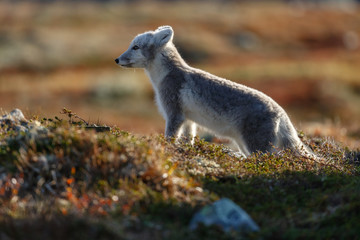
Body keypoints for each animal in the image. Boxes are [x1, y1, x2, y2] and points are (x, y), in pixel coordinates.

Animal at [116, 26, 316, 158]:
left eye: (135, 47)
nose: (117, 60)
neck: (165, 75)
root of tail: (281, 112)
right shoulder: (188, 120)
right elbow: (189, 140)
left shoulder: (174, 114)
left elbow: (170, 137)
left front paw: (167, 150)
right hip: (245, 145)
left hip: (257, 146)